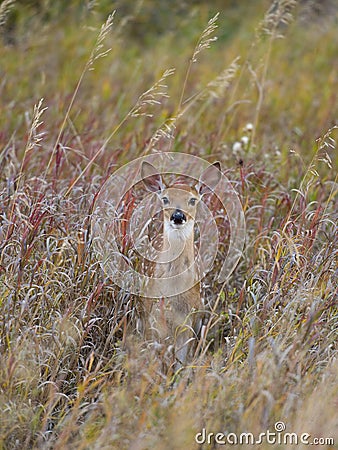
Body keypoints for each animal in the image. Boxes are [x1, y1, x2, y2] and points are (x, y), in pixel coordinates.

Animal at [140, 160, 222, 368]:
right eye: (165, 199)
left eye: (193, 200)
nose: (178, 217)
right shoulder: (154, 317)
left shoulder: (189, 321)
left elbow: (181, 361)